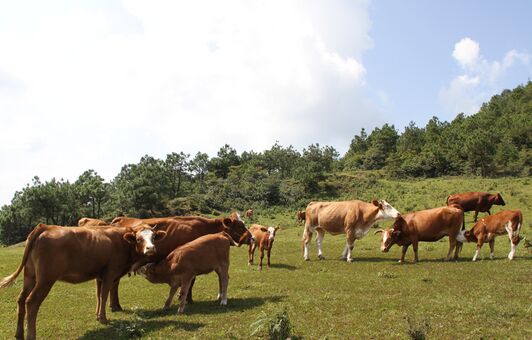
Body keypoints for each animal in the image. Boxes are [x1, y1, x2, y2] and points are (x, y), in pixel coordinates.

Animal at [110, 214, 251, 310]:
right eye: (240, 226)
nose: (252, 238)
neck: (204, 227)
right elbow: (191, 282)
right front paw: (187, 299)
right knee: (114, 284)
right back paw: (116, 306)